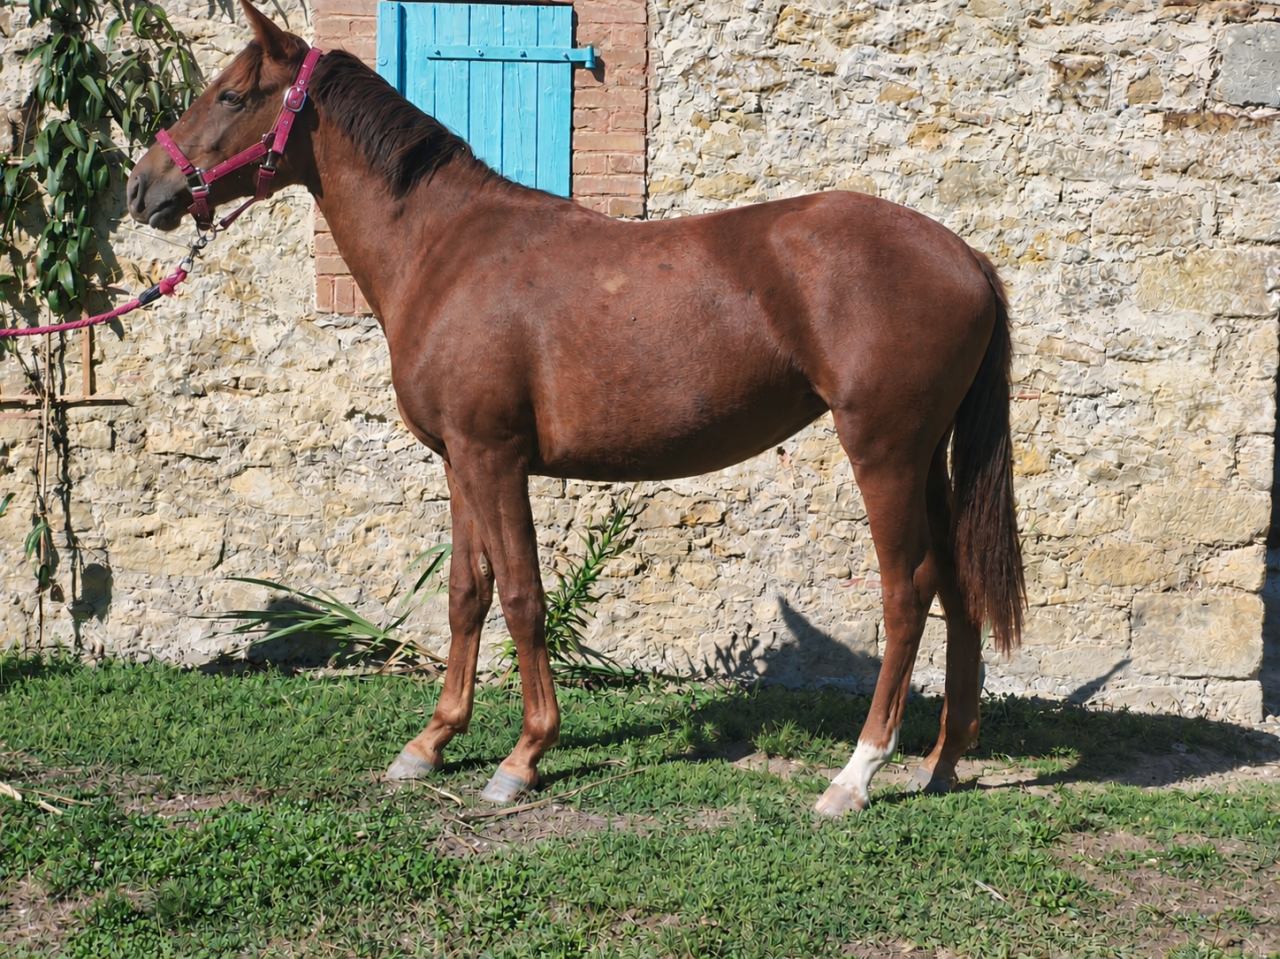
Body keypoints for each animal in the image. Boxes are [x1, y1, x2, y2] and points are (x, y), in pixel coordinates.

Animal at [127, 0, 1025, 815]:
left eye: (232, 95)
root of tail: (964, 256)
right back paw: (940, 763)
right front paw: (432, 740)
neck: (443, 247)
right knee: (957, 586)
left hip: (885, 453)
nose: (143, 187)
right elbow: (467, 592)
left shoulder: (494, 456)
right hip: (927, 458)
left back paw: (856, 775)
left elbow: (524, 597)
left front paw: (523, 756)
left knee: (908, 591)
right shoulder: (459, 459)